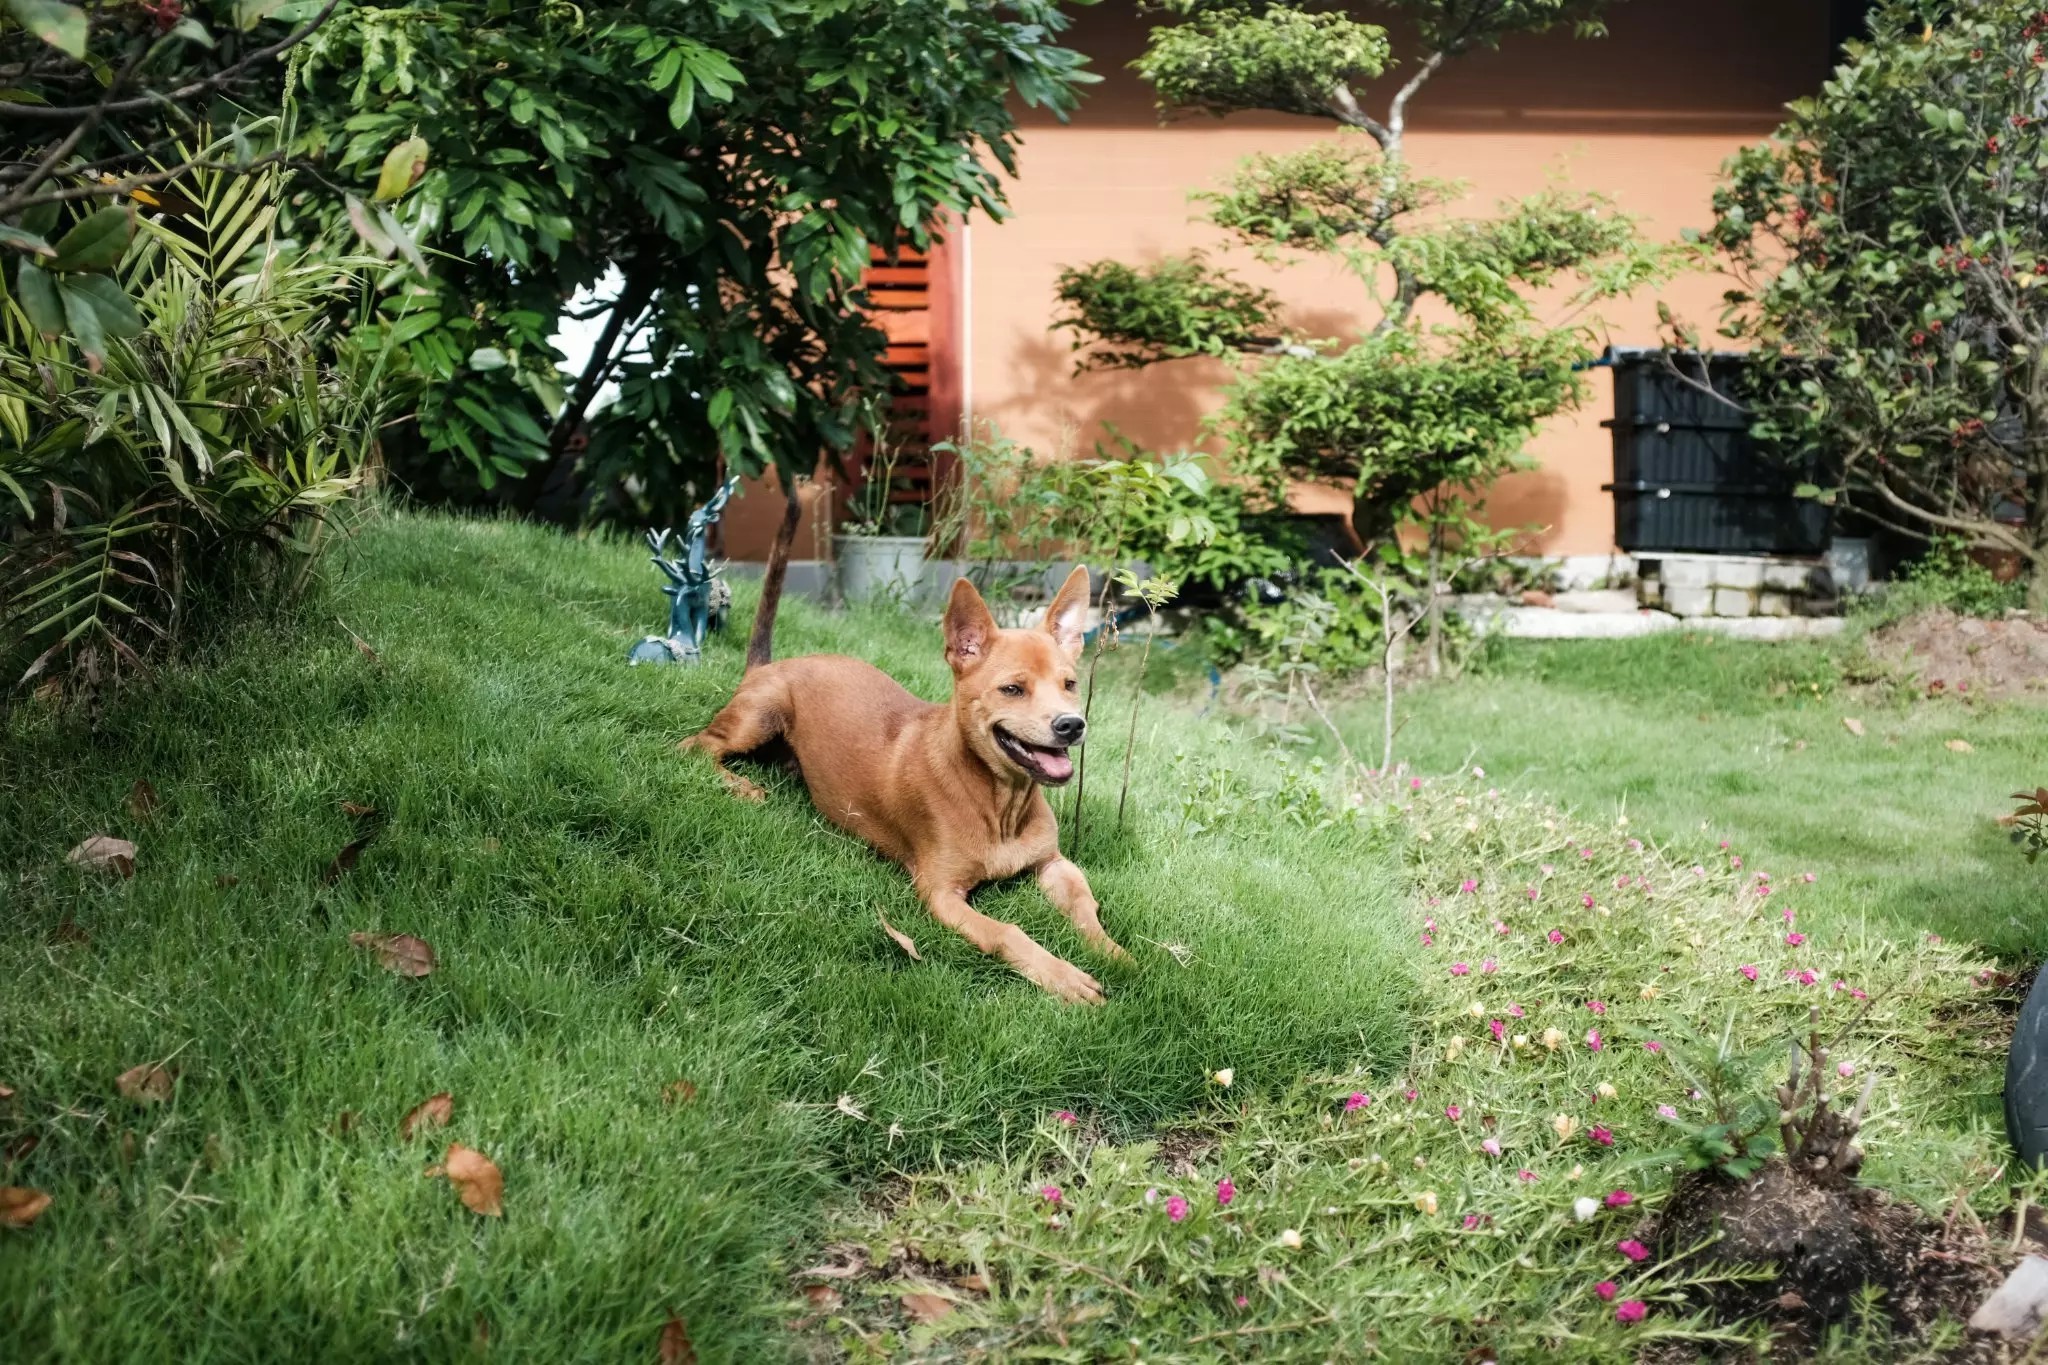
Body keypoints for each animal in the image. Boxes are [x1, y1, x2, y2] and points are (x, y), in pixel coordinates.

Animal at [679, 564, 1122, 1002]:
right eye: (1012, 689)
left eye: (1070, 685)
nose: (1071, 725)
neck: (999, 803)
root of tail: (768, 666)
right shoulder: (940, 894)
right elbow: (1006, 933)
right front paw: (1063, 975)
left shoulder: (1054, 863)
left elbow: (1087, 907)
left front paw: (1118, 956)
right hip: (759, 715)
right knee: (693, 747)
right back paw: (739, 785)